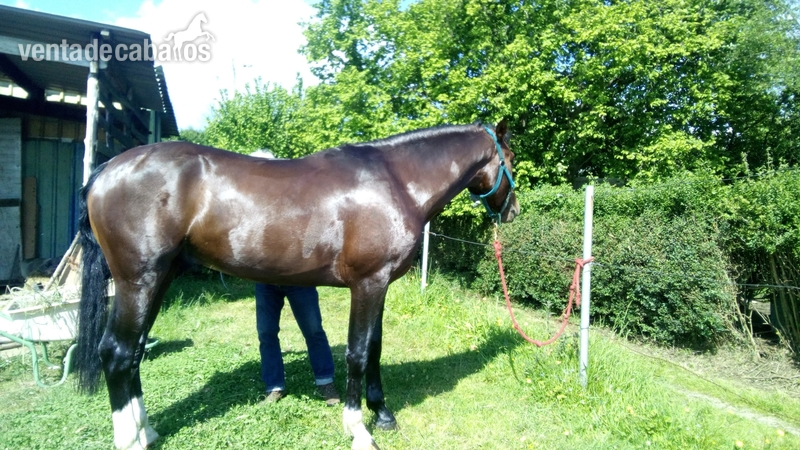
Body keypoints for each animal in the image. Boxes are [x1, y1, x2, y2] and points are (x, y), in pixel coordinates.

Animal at [74, 120, 519, 450]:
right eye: (511, 158)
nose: (513, 211)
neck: (395, 181)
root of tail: (105, 171)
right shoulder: (368, 284)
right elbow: (358, 354)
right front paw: (359, 429)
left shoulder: (380, 287)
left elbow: (374, 349)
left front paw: (383, 414)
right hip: (138, 281)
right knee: (116, 352)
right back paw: (130, 439)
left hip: (160, 279)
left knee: (133, 354)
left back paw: (146, 431)